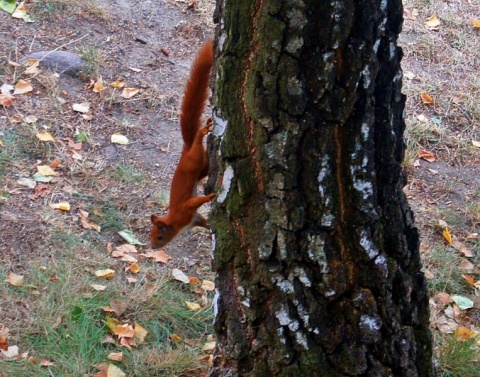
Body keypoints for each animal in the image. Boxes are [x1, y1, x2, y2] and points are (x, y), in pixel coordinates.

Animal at [149, 39, 215, 248]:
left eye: (159, 236)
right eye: (150, 235)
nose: (153, 246)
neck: (175, 223)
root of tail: (185, 150)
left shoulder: (185, 210)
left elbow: (196, 201)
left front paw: (209, 197)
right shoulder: (194, 219)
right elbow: (204, 221)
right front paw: (211, 228)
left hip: (194, 157)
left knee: (198, 143)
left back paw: (202, 131)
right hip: (201, 167)